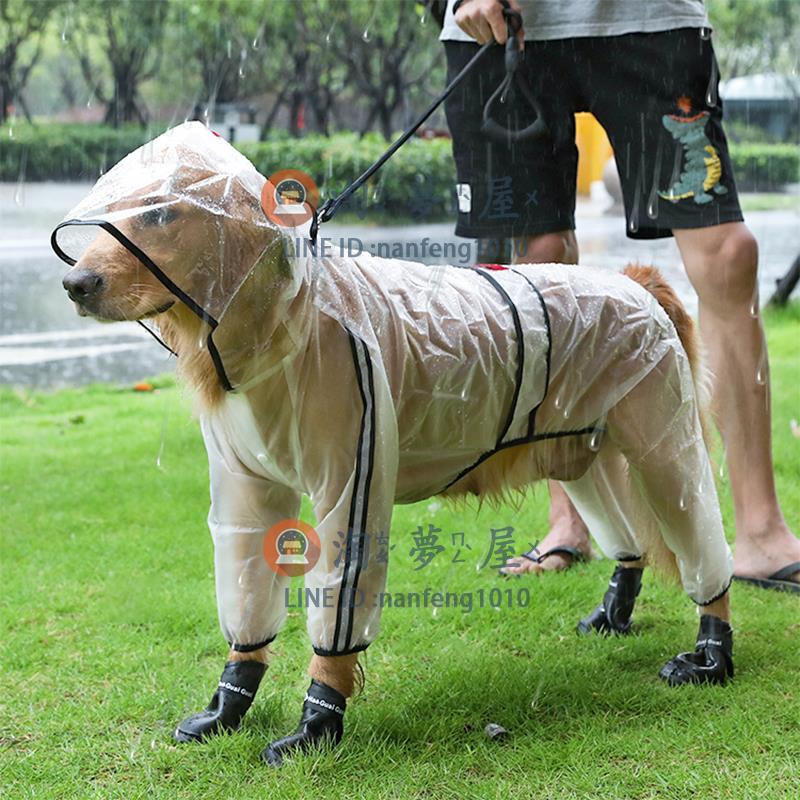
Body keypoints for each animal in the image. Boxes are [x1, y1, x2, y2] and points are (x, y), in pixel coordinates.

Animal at [53, 125, 736, 768]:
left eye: (159, 214)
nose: (76, 283)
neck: (284, 317)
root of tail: (636, 282)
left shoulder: (349, 482)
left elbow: (337, 619)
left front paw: (316, 726)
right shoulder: (246, 491)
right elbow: (246, 605)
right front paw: (228, 704)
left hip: (664, 448)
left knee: (701, 543)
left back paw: (711, 654)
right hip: (578, 452)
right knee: (629, 542)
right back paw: (615, 613)